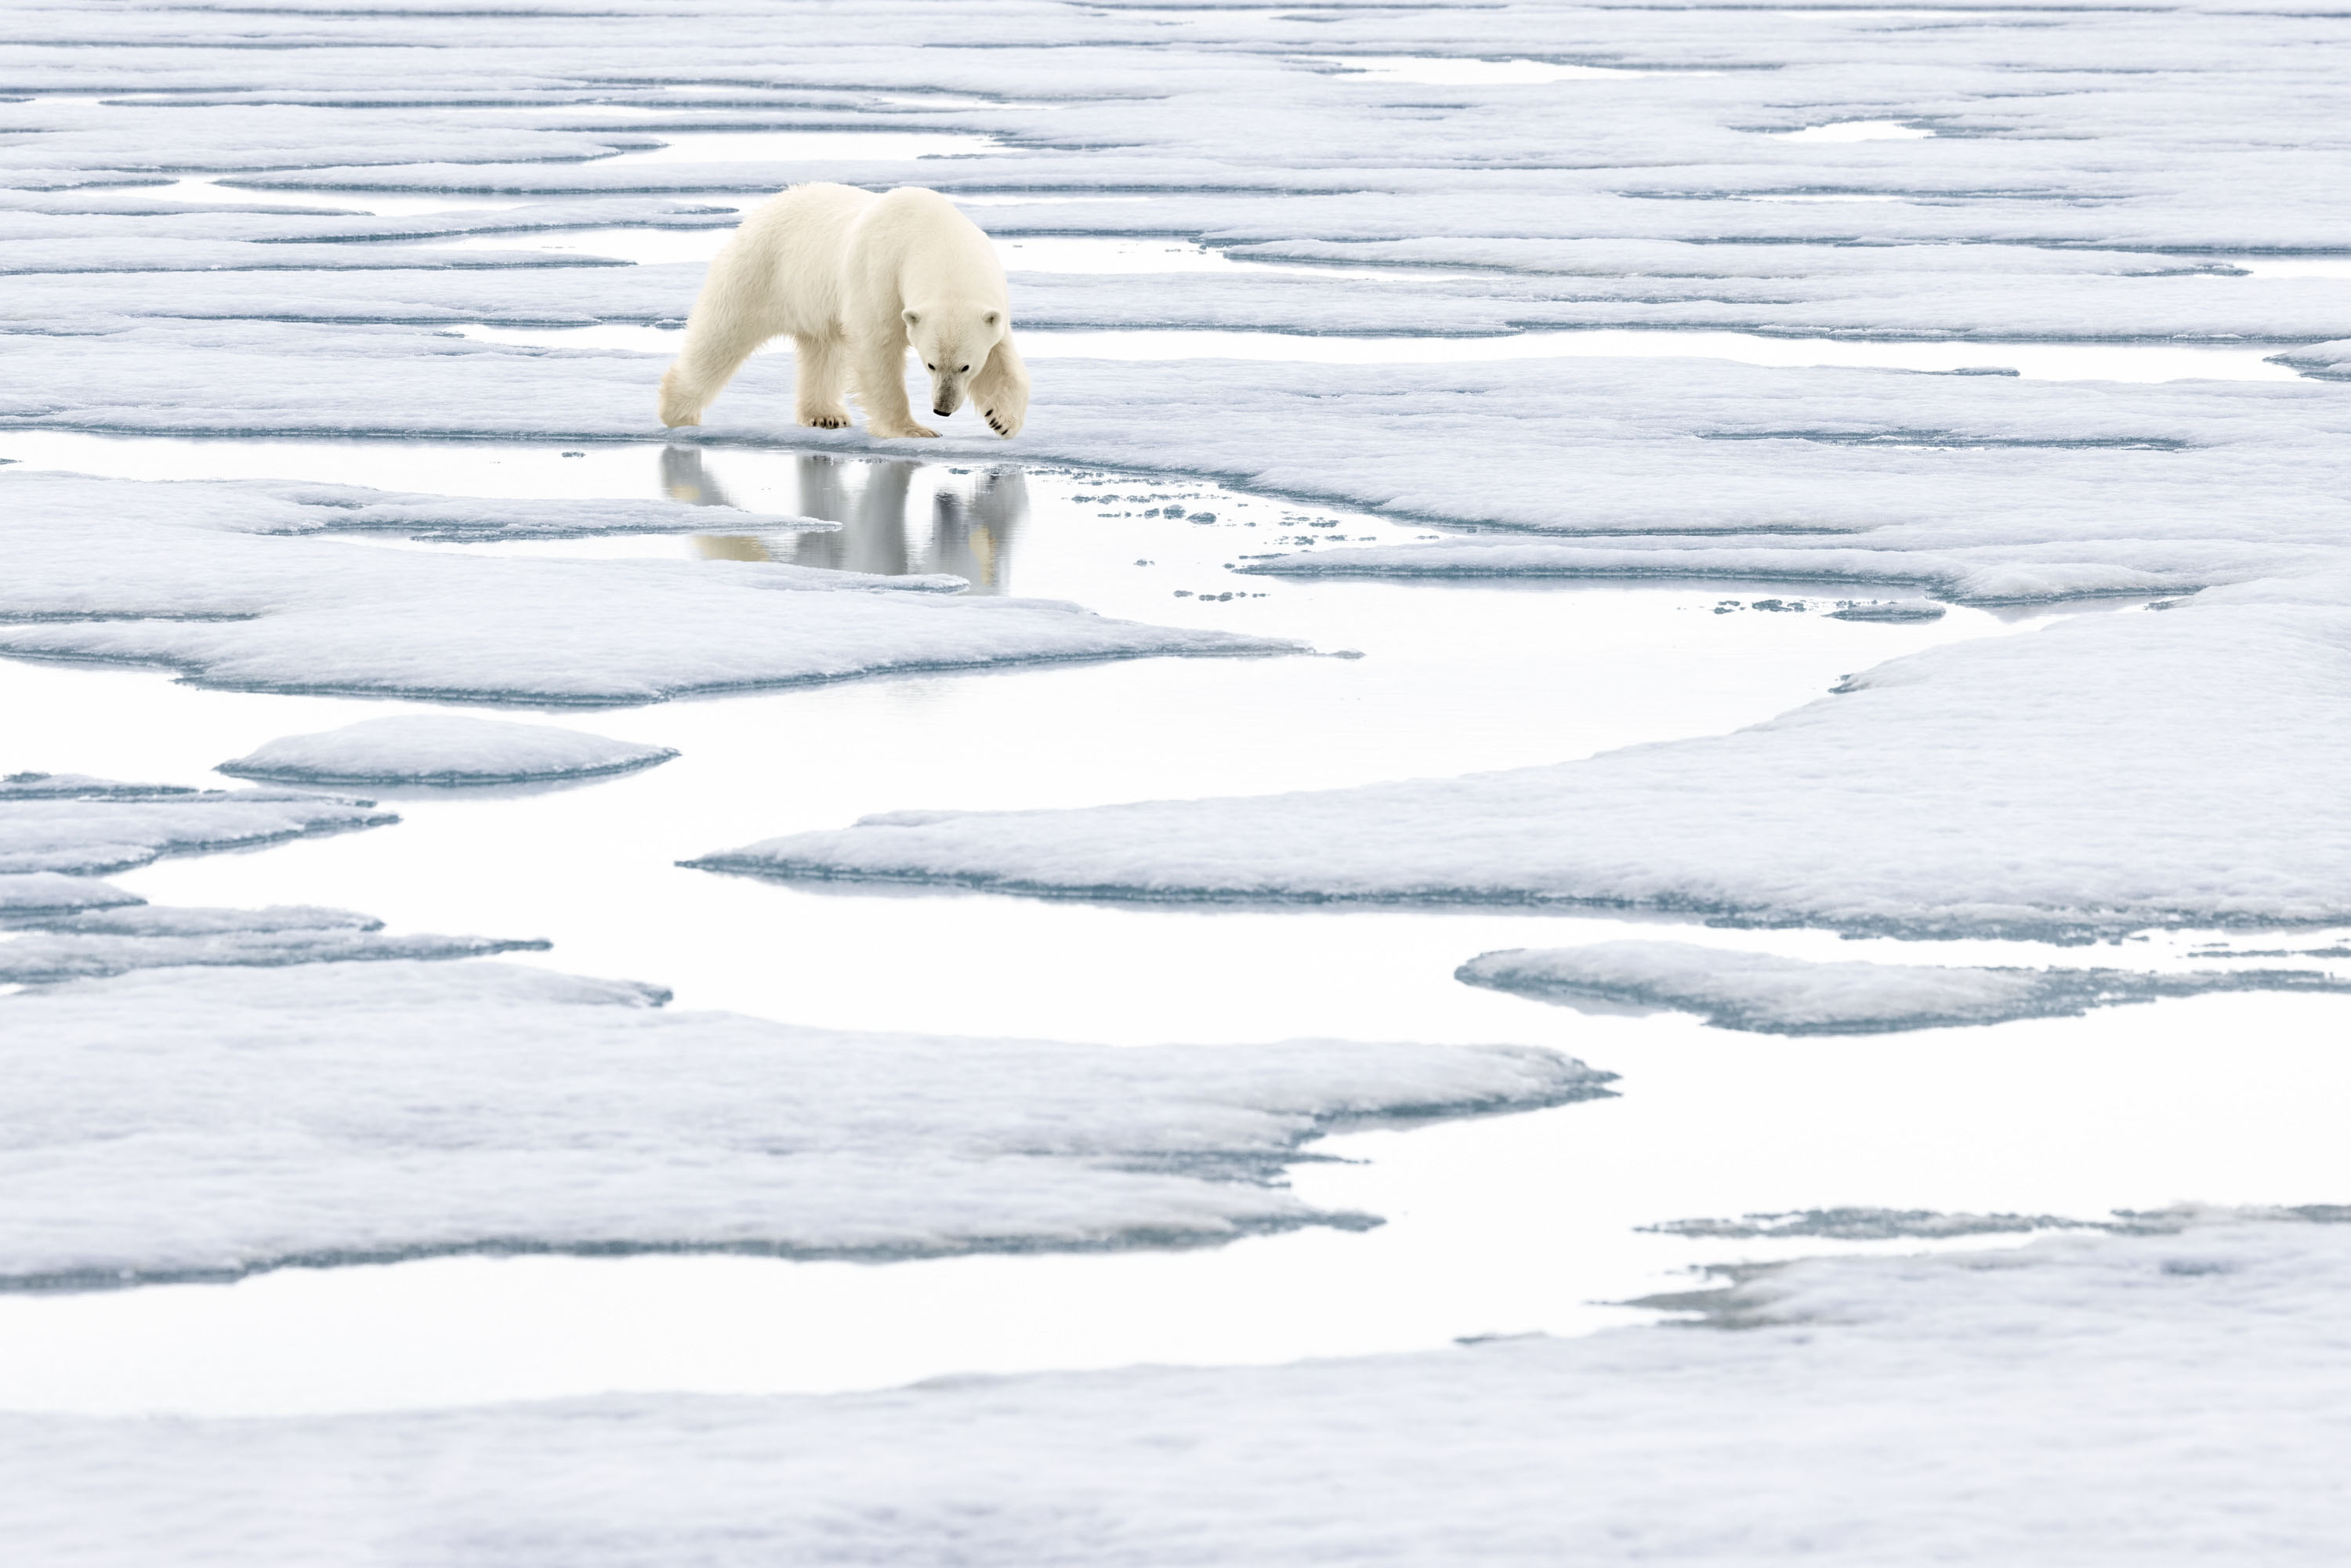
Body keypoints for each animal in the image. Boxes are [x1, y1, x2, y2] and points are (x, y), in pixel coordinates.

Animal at [657, 183, 1029, 441]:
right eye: (931, 364)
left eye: (965, 366)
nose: (942, 410)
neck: (936, 238)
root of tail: (766, 207)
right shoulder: (881, 273)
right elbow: (878, 348)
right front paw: (913, 429)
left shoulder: (991, 303)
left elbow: (1003, 361)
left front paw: (1002, 420)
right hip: (760, 271)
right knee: (722, 336)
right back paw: (678, 412)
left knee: (824, 350)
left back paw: (825, 415)